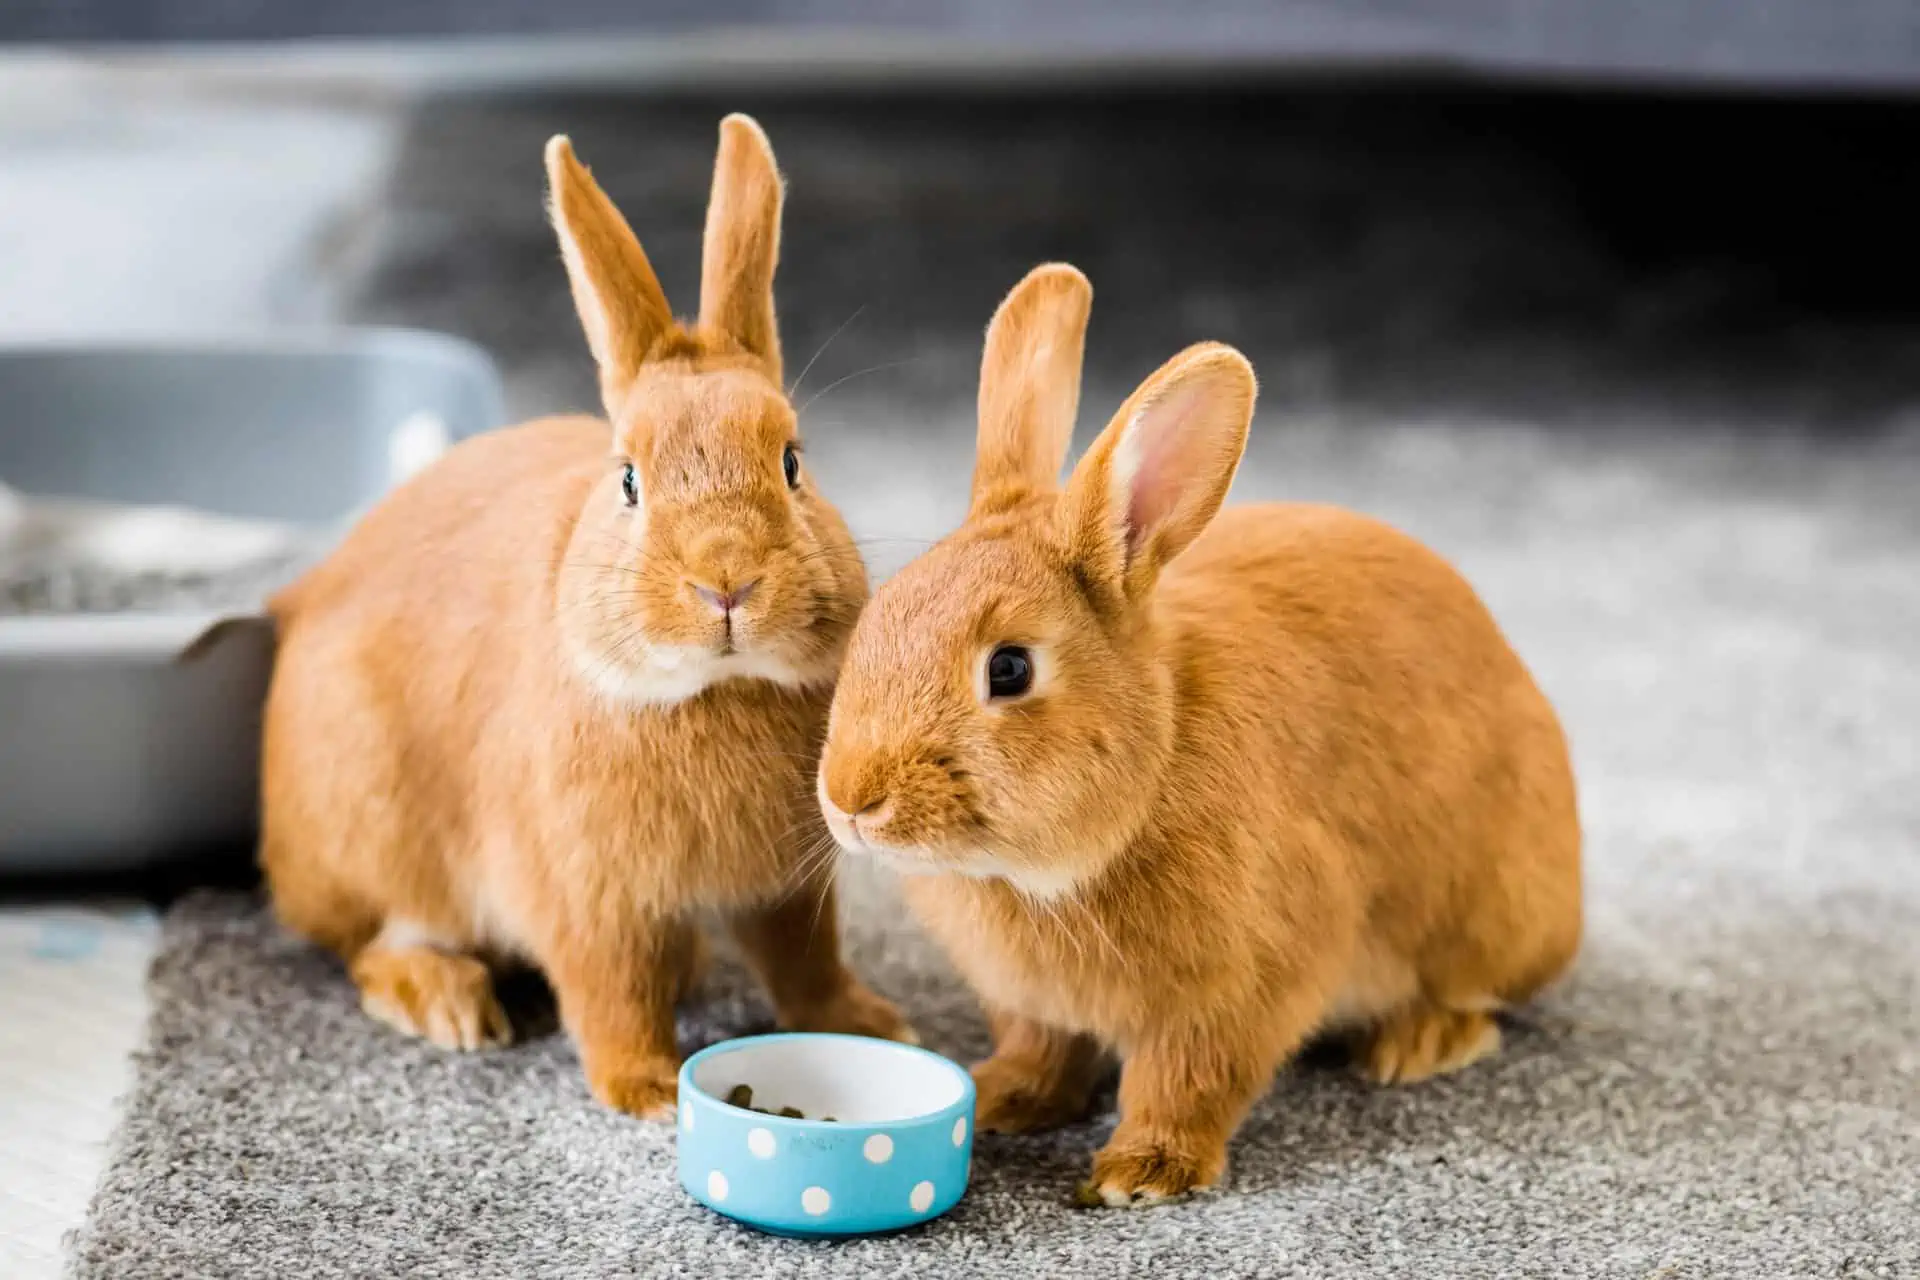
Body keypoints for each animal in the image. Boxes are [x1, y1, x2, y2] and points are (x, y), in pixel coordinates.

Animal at [263, 119, 913, 1120]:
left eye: (794, 462)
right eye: (630, 480)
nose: (727, 582)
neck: (716, 690)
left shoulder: (786, 889)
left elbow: (806, 965)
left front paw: (873, 1024)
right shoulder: (585, 897)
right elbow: (609, 994)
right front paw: (646, 1091)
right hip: (379, 833)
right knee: (376, 944)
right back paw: (448, 1005)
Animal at [817, 264, 1582, 1205]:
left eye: (1010, 669)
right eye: (875, 617)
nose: (851, 799)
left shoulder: (1241, 985)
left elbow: (1188, 1078)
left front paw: (1142, 1173)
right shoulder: (1031, 1003)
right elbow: (1041, 1047)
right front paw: (1001, 1100)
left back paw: (1420, 1044)